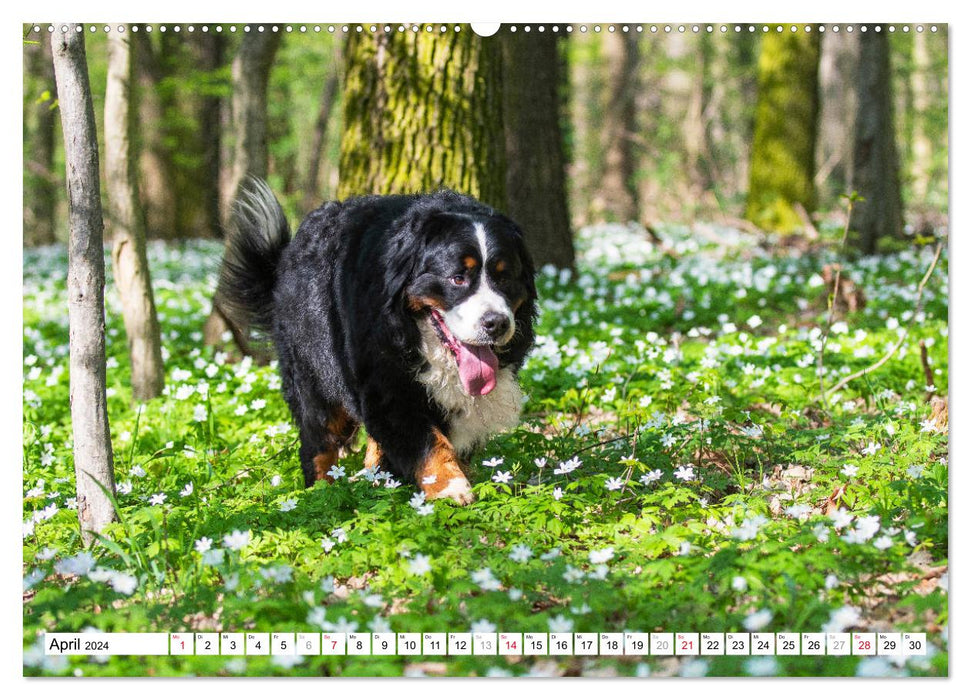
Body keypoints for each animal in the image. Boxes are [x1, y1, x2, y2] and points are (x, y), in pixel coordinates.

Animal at [218, 183, 540, 506]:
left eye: (505, 277)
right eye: (458, 278)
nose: (497, 323)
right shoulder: (388, 382)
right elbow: (429, 442)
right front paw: (450, 487)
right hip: (315, 376)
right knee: (318, 440)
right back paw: (321, 492)